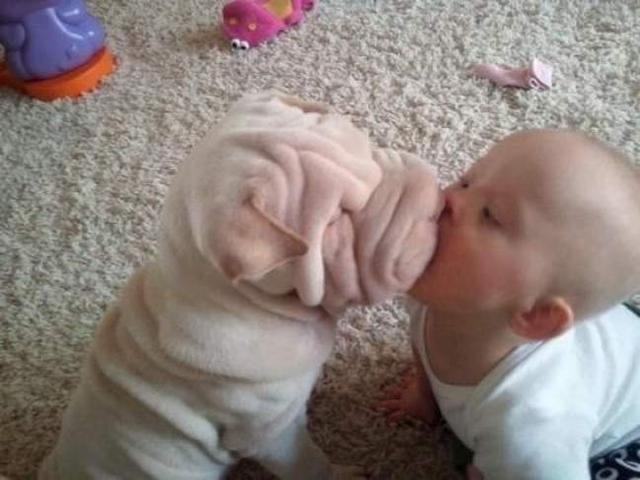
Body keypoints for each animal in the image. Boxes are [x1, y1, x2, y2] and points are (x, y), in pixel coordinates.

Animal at [38, 92, 440, 478]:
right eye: (337, 221)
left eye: (369, 147)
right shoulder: (272, 435)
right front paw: (344, 473)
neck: (238, 300)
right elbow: (309, 463)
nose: (429, 197)